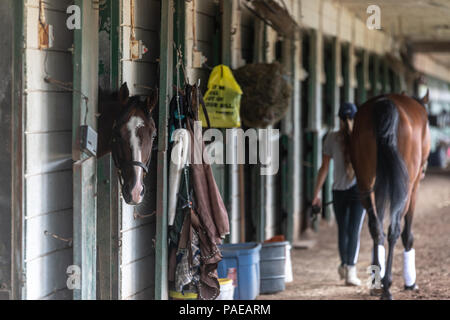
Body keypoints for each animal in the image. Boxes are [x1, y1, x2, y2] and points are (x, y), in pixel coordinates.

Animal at [350, 90, 430, 300]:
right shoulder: (414, 187)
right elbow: (407, 233)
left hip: (365, 183)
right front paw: (410, 283)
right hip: (406, 188)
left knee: (376, 228)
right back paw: (386, 287)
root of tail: (384, 104)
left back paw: (378, 284)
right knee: (394, 229)